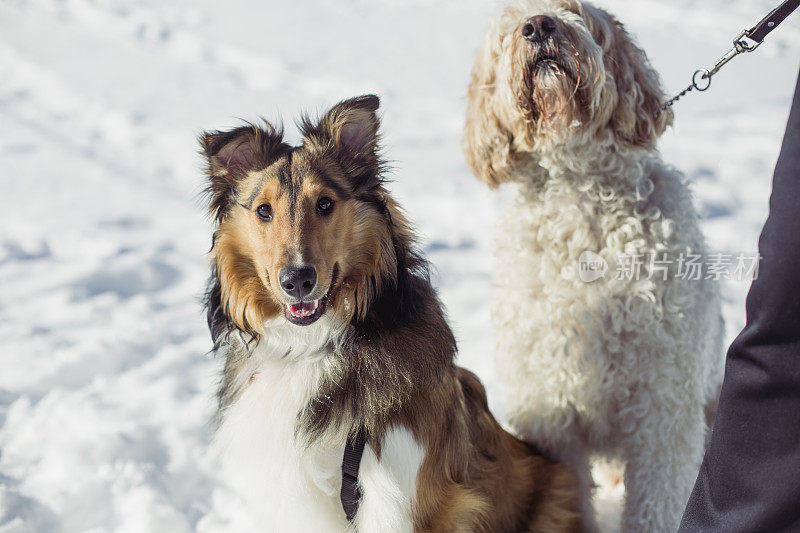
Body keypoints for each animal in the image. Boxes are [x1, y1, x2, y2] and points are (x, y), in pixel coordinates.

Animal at [462, 1, 724, 532]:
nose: (539, 25)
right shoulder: (552, 405)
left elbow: (656, 502)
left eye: (574, 10)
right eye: (507, 26)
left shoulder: (664, 407)